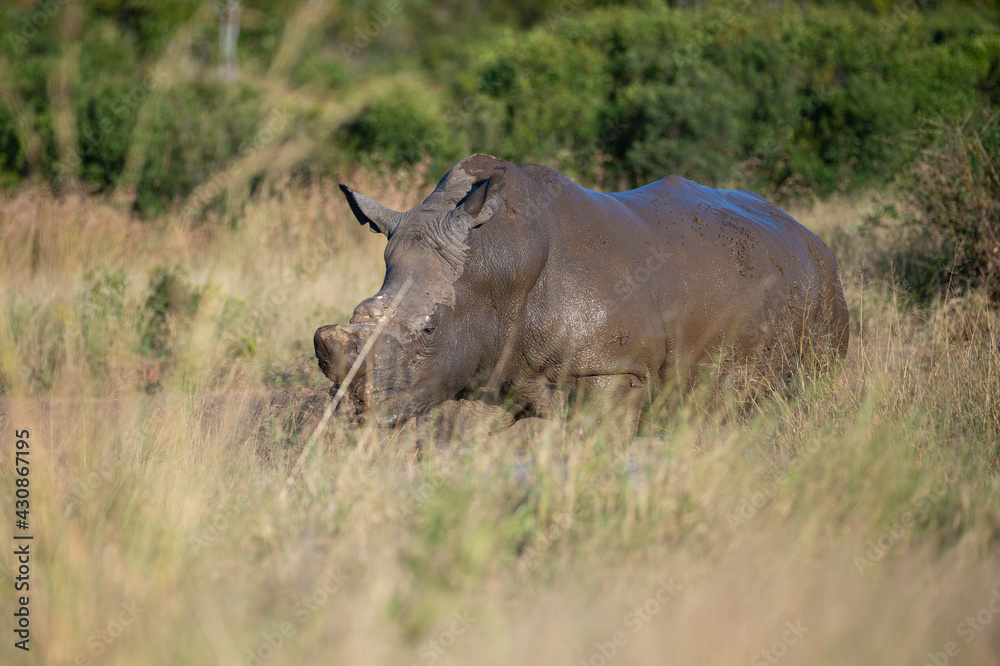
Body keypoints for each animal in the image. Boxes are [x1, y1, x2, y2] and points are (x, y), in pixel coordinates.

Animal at [316, 154, 848, 428]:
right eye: (358, 312)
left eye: (428, 330)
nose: (356, 410)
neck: (494, 263)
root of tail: (808, 235)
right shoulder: (487, 366)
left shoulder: (613, 367)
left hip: (826, 291)